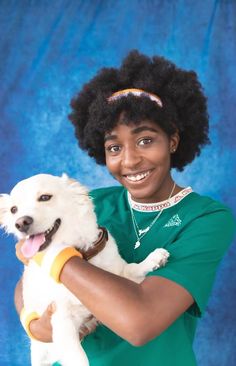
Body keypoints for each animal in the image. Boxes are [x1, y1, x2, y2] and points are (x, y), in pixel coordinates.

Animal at [0, 174, 170, 366]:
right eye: (14, 209)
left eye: (44, 197)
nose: (20, 223)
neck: (81, 256)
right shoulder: (62, 321)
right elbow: (78, 358)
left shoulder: (120, 278)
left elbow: (132, 268)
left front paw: (153, 259)